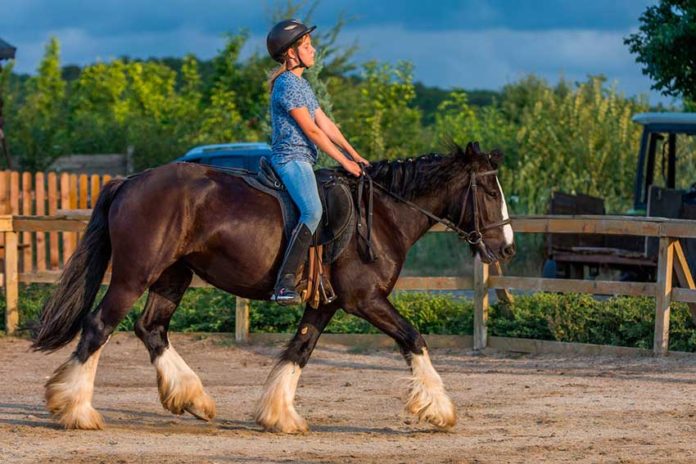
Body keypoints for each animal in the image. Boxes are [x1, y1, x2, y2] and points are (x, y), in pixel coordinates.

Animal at [32, 140, 512, 432]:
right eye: (490, 192)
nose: (505, 247)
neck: (382, 216)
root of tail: (129, 181)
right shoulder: (366, 300)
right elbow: (414, 338)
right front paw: (439, 409)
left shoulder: (326, 304)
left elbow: (299, 350)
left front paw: (279, 415)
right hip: (135, 275)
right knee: (99, 327)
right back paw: (76, 409)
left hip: (172, 277)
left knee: (151, 329)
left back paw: (194, 398)